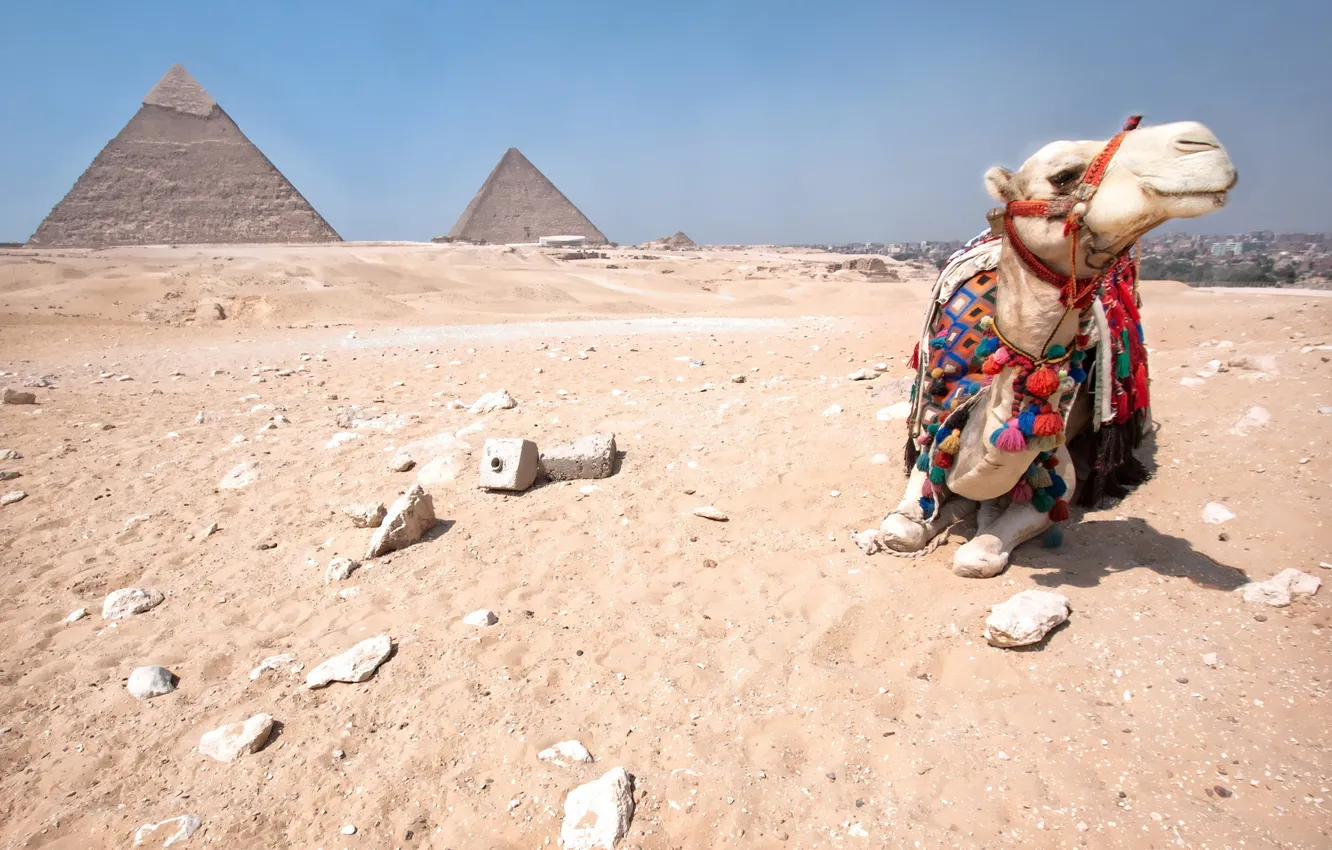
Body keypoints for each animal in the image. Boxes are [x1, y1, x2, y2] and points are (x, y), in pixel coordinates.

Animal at [862, 117, 1237, 577]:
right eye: (1063, 176)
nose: (1200, 141)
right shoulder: (933, 432)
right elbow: (901, 527)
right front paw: (950, 510)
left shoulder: (1056, 474)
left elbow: (979, 553)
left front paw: (978, 516)